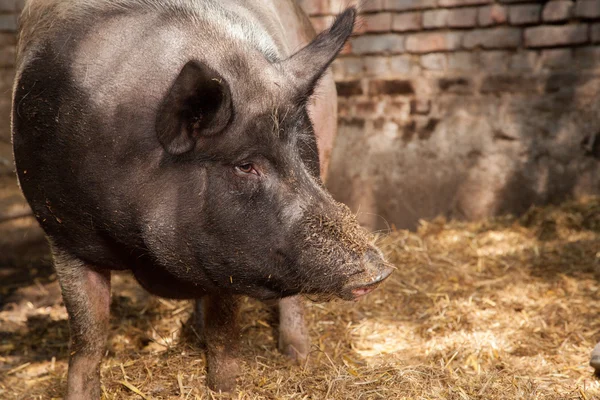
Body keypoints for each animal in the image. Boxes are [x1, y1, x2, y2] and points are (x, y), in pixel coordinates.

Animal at [11, 0, 394, 396]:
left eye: (301, 150)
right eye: (245, 165)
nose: (379, 271)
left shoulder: (231, 254)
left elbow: (224, 334)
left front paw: (224, 387)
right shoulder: (62, 233)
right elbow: (88, 338)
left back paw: (298, 356)